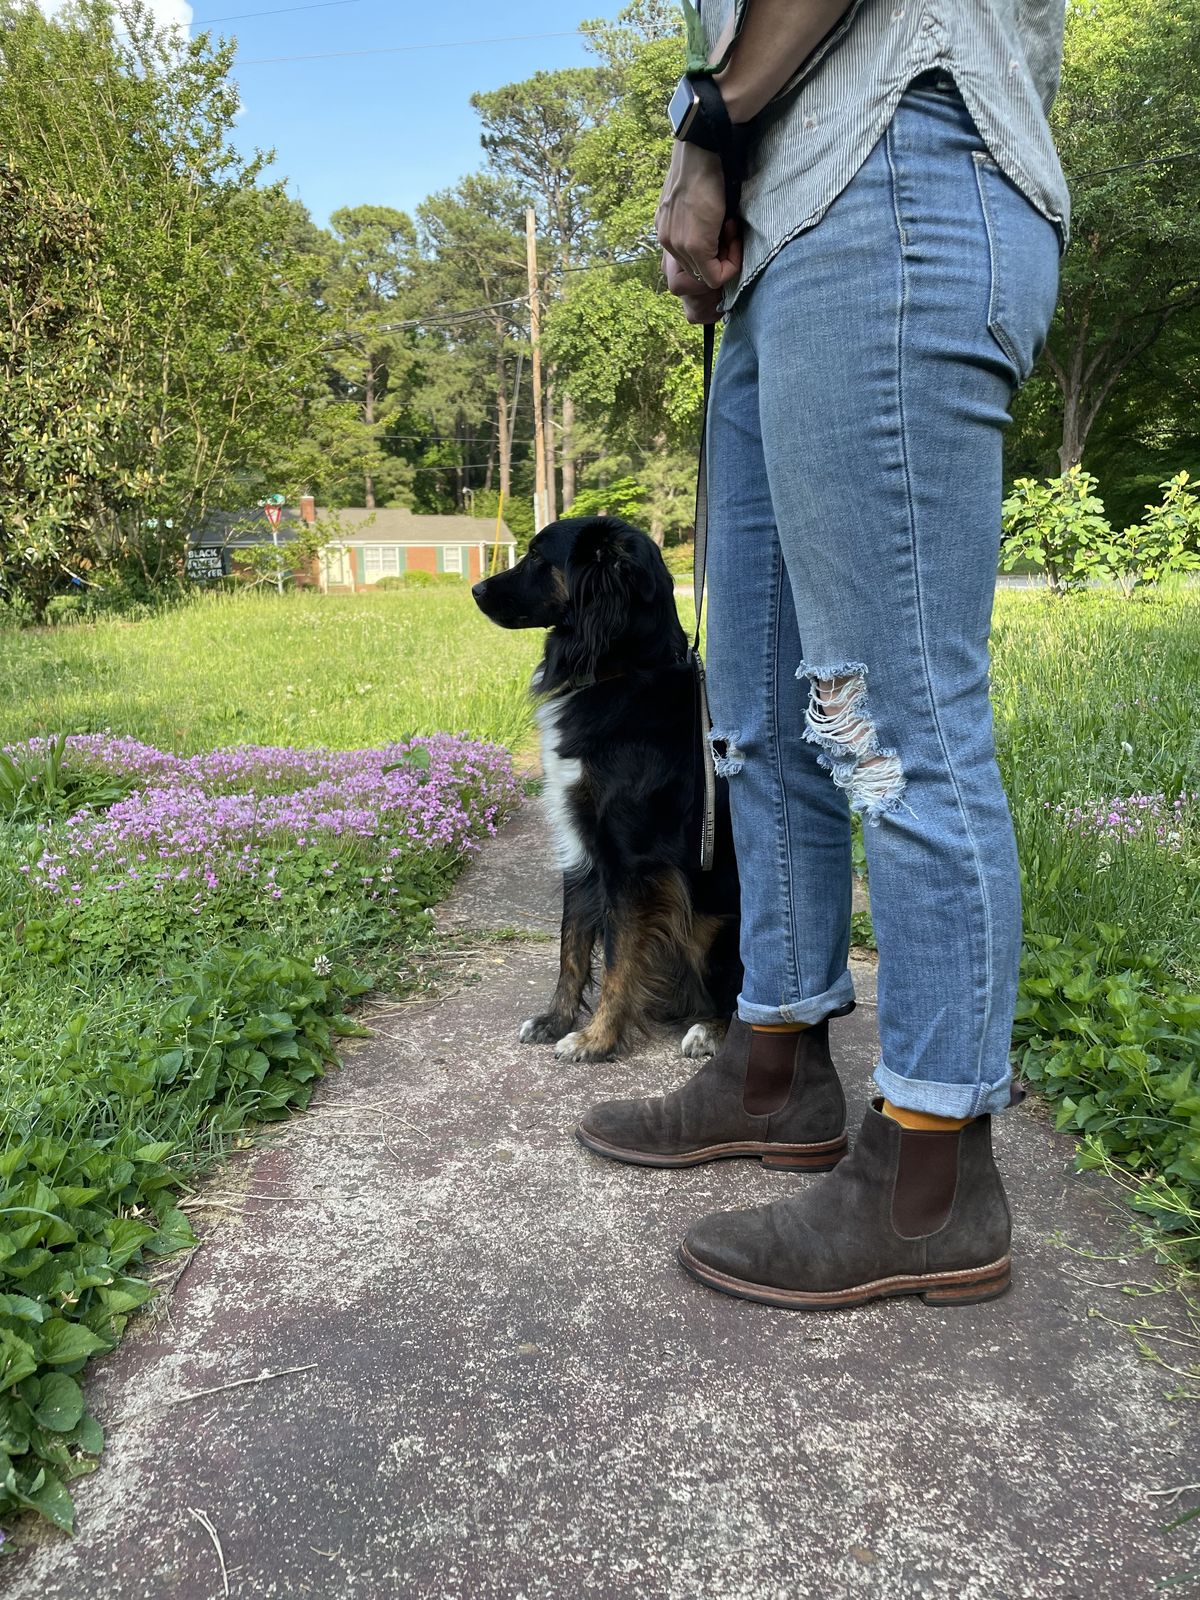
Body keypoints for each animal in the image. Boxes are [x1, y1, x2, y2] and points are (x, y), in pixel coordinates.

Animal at [473, 515, 742, 1062]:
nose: (475, 589)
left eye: (537, 557)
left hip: (714, 928)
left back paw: (708, 1030)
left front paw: (596, 1039)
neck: (620, 673)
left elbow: (619, 957)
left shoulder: (629, 863)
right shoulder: (581, 850)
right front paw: (556, 1020)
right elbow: (571, 947)